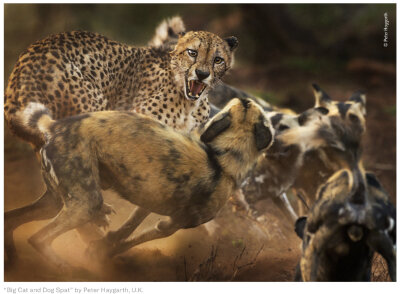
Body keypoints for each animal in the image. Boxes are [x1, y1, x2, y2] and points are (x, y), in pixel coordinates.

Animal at [12, 97, 276, 268]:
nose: (246, 97)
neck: (225, 157)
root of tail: (55, 125)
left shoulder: (150, 201)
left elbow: (126, 229)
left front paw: (104, 243)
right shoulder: (172, 225)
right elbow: (134, 240)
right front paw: (102, 252)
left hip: (56, 203)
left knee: (11, 220)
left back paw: (11, 256)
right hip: (85, 205)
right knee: (38, 238)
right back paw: (66, 267)